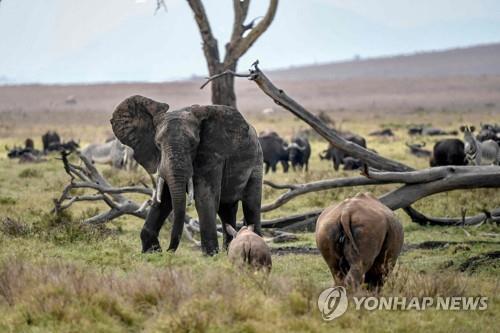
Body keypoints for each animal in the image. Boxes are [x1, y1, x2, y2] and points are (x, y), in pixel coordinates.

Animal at [112, 94, 264, 255]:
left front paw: (210, 255)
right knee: (226, 209)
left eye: (193, 144)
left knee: (251, 205)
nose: (168, 251)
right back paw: (228, 251)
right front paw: (151, 252)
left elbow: (205, 196)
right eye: (158, 144)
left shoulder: (211, 154)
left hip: (257, 161)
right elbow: (165, 197)